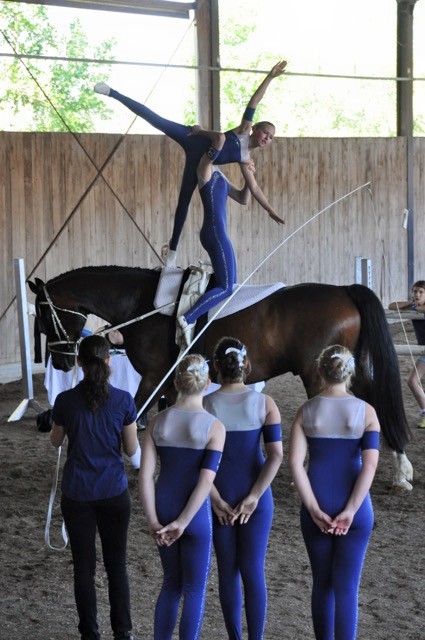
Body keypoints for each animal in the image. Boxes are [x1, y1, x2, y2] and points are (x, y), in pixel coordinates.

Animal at [28, 264, 412, 490]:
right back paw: (401, 469)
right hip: (346, 371)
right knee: (375, 403)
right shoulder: (171, 380)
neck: (142, 305)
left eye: (44, 316)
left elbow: (135, 416)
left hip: (320, 375)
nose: (60, 362)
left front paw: (139, 465)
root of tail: (345, 289)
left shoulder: (153, 376)